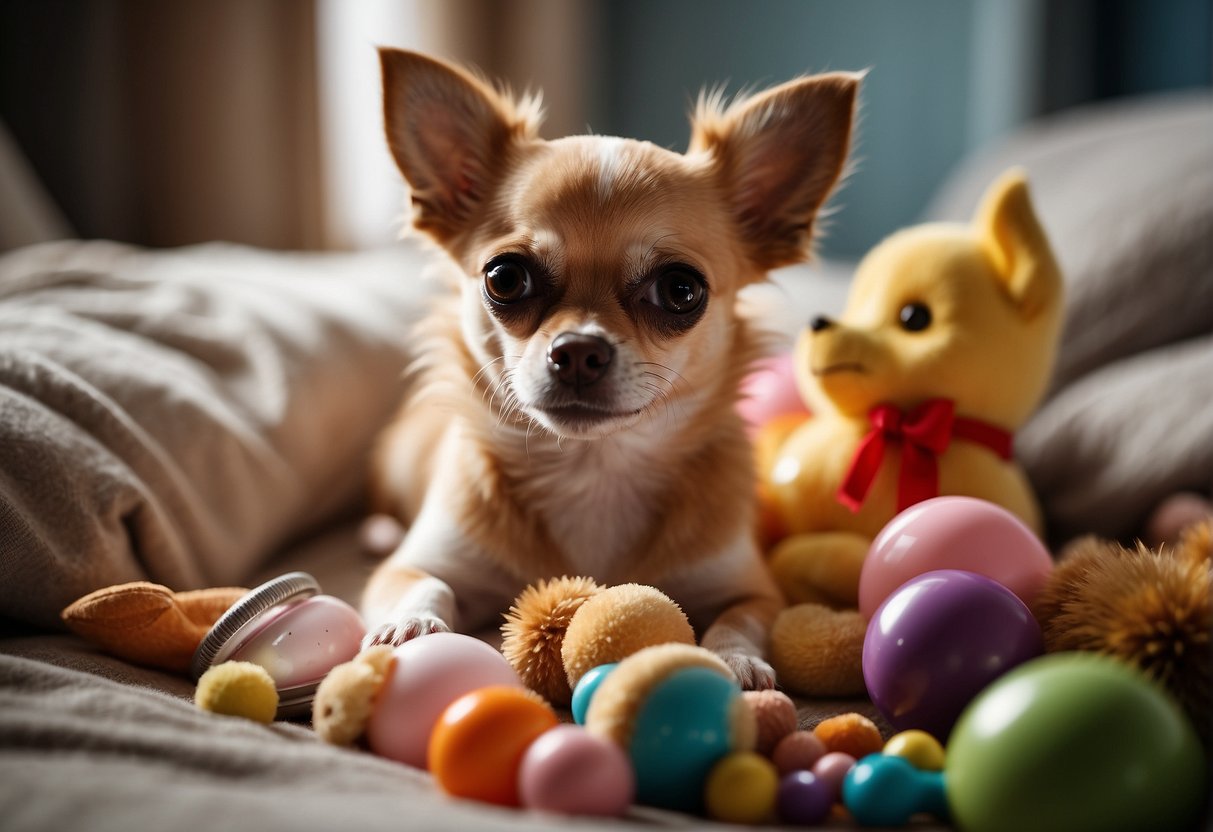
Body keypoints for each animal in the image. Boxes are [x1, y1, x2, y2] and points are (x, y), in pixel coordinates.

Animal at [363, 50, 858, 688]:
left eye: (680, 290)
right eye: (504, 277)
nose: (578, 349)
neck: (593, 470)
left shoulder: (752, 587)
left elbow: (742, 617)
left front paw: (733, 657)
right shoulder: (419, 563)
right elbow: (421, 583)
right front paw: (410, 624)